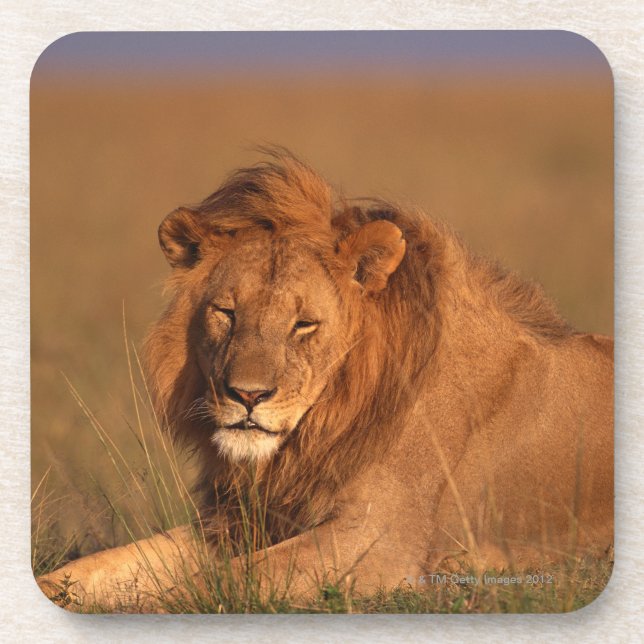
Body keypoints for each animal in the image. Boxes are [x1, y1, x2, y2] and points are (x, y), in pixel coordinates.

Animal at [37, 150, 613, 612]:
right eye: (226, 313)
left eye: (303, 324)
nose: (247, 396)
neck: (322, 426)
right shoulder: (242, 519)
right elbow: (106, 565)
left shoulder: (380, 543)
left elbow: (218, 582)